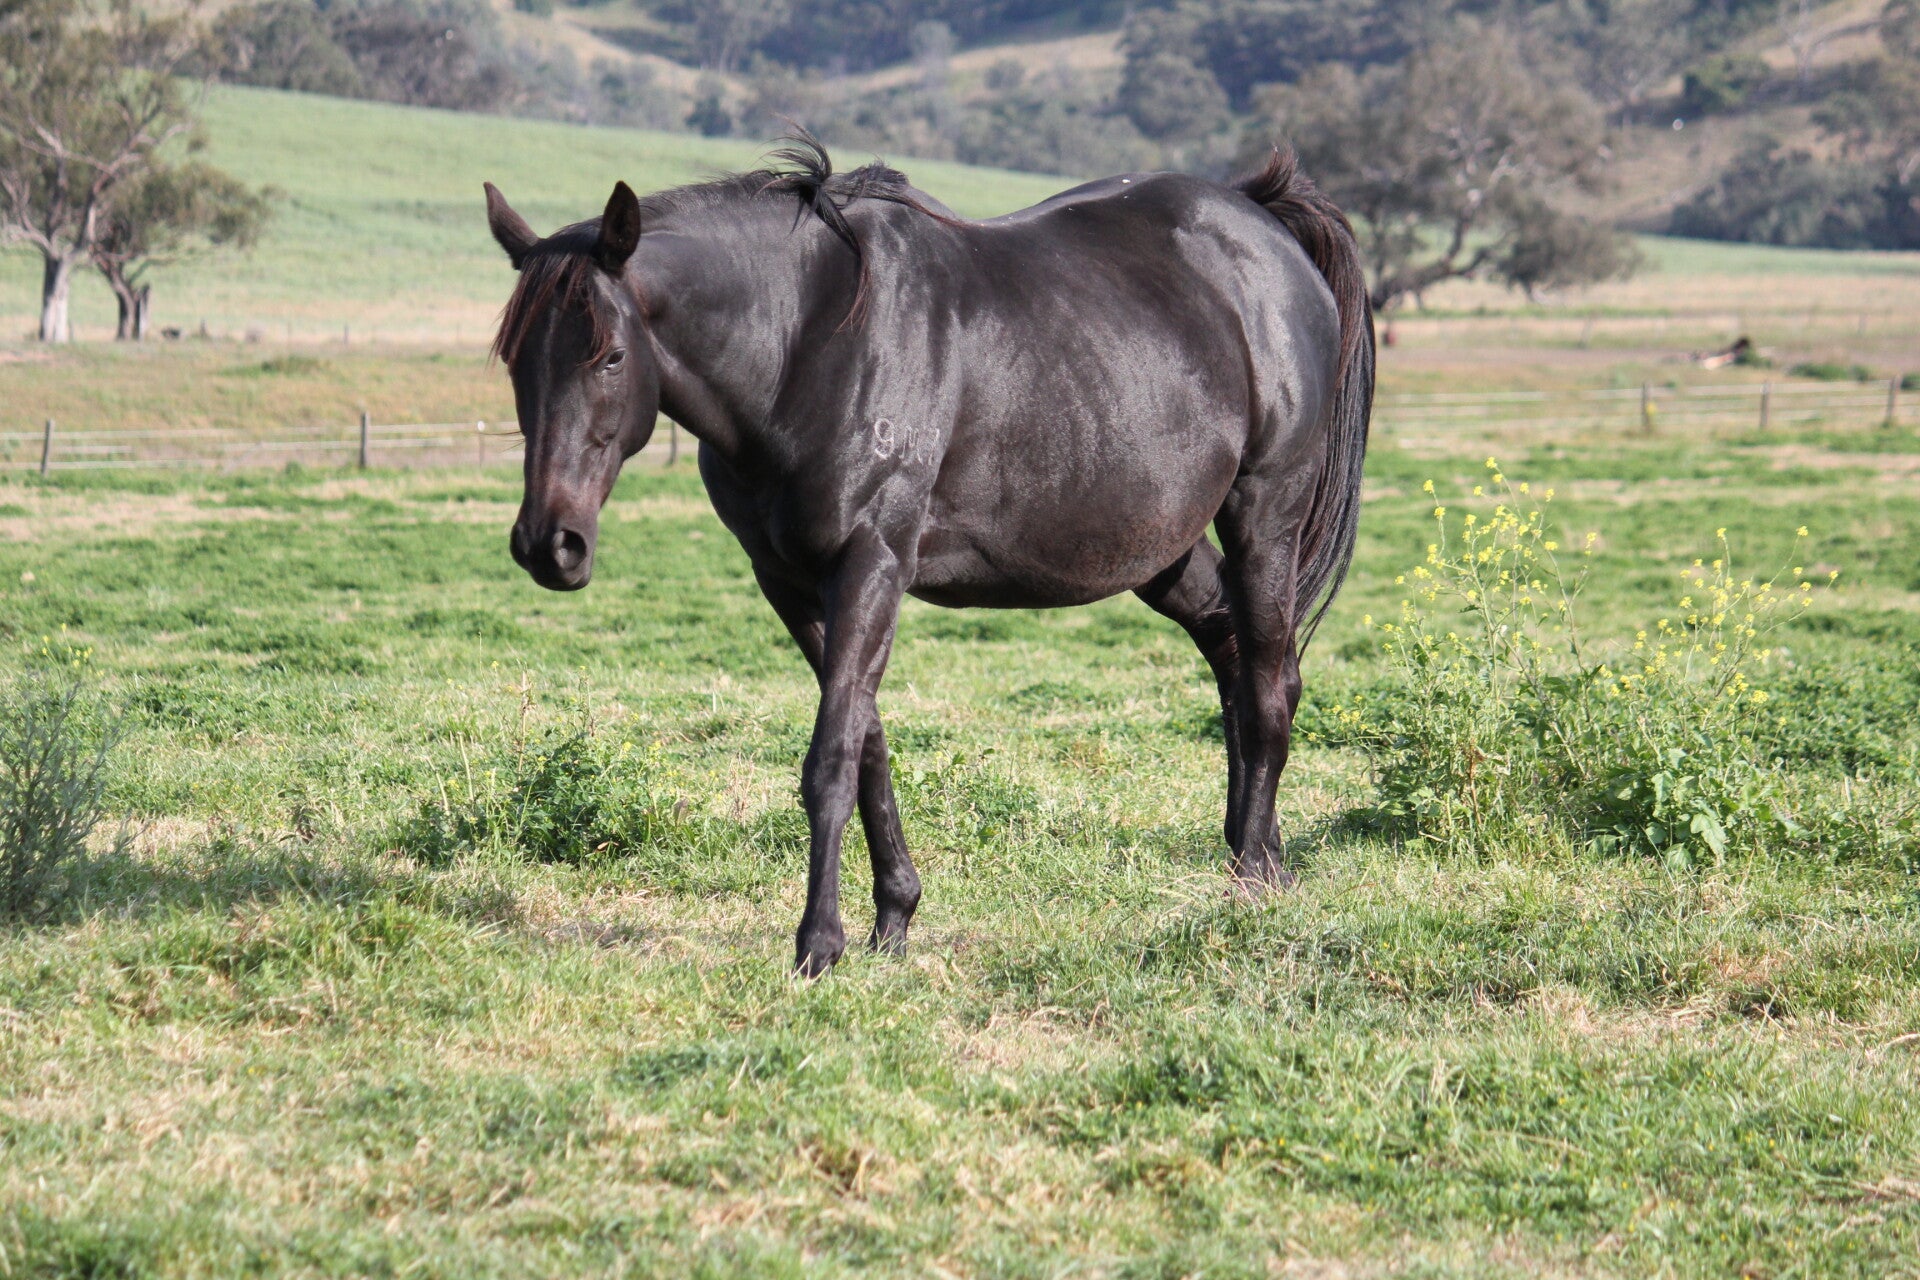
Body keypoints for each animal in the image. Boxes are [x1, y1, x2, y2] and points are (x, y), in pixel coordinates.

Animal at [483, 135, 1374, 975]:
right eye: (516, 359)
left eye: (609, 355)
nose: (549, 543)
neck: (806, 339)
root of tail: (1257, 218)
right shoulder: (790, 582)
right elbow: (868, 744)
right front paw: (894, 917)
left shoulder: (871, 561)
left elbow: (832, 756)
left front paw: (818, 943)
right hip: (1162, 551)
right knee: (1235, 653)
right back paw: (1259, 854)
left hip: (1264, 512)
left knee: (1267, 684)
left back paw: (1253, 875)